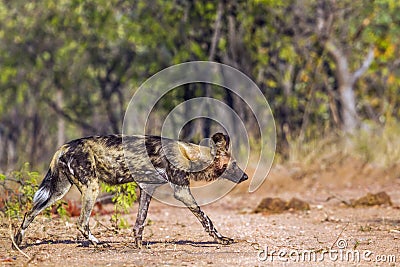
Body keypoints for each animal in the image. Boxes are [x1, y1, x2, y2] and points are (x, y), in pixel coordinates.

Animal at [13, 133, 247, 248]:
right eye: (233, 164)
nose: (245, 176)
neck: (190, 155)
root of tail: (63, 147)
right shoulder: (181, 191)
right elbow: (206, 219)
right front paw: (221, 239)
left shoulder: (147, 189)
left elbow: (139, 222)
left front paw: (138, 245)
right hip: (91, 188)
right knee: (81, 223)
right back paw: (98, 244)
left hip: (58, 191)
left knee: (29, 213)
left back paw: (18, 242)